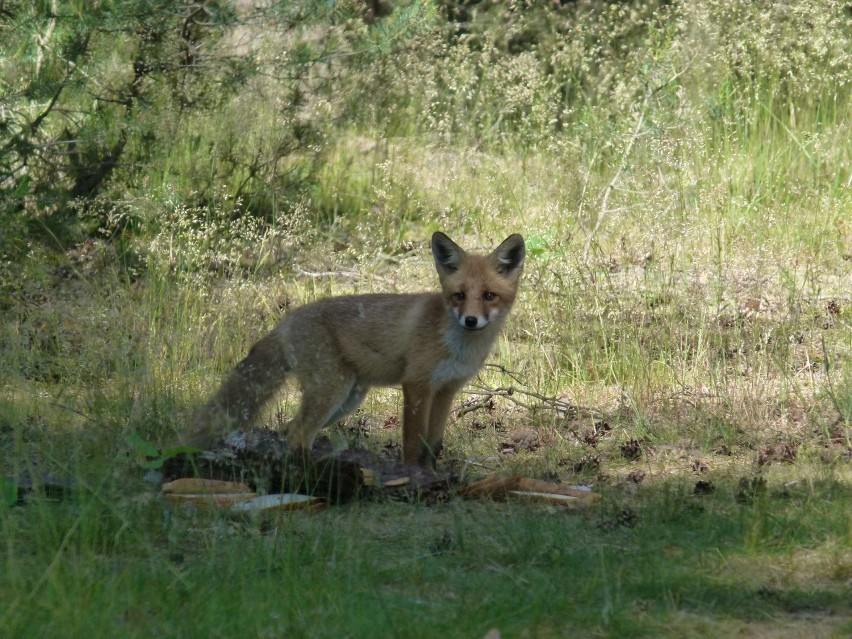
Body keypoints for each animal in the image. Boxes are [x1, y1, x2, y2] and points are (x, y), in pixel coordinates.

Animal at [183, 232, 524, 468]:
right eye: (459, 295)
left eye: (489, 296)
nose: (471, 320)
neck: (457, 346)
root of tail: (287, 320)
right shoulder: (416, 384)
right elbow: (413, 444)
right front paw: (414, 479)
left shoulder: (446, 389)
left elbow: (433, 445)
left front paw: (432, 475)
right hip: (331, 391)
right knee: (297, 431)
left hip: (346, 400)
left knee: (291, 429)